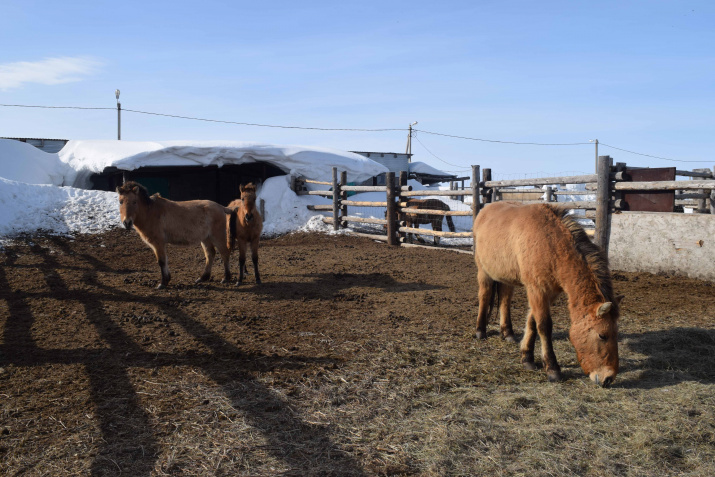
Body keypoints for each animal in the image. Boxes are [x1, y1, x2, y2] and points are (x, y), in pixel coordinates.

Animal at [472, 203, 624, 384]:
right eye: (602, 335)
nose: (608, 378)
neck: (551, 243)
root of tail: (485, 210)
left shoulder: (550, 293)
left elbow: (532, 321)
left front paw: (527, 358)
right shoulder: (537, 290)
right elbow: (544, 325)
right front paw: (552, 369)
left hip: (506, 276)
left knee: (505, 299)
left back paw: (507, 333)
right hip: (483, 271)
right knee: (484, 296)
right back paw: (480, 331)